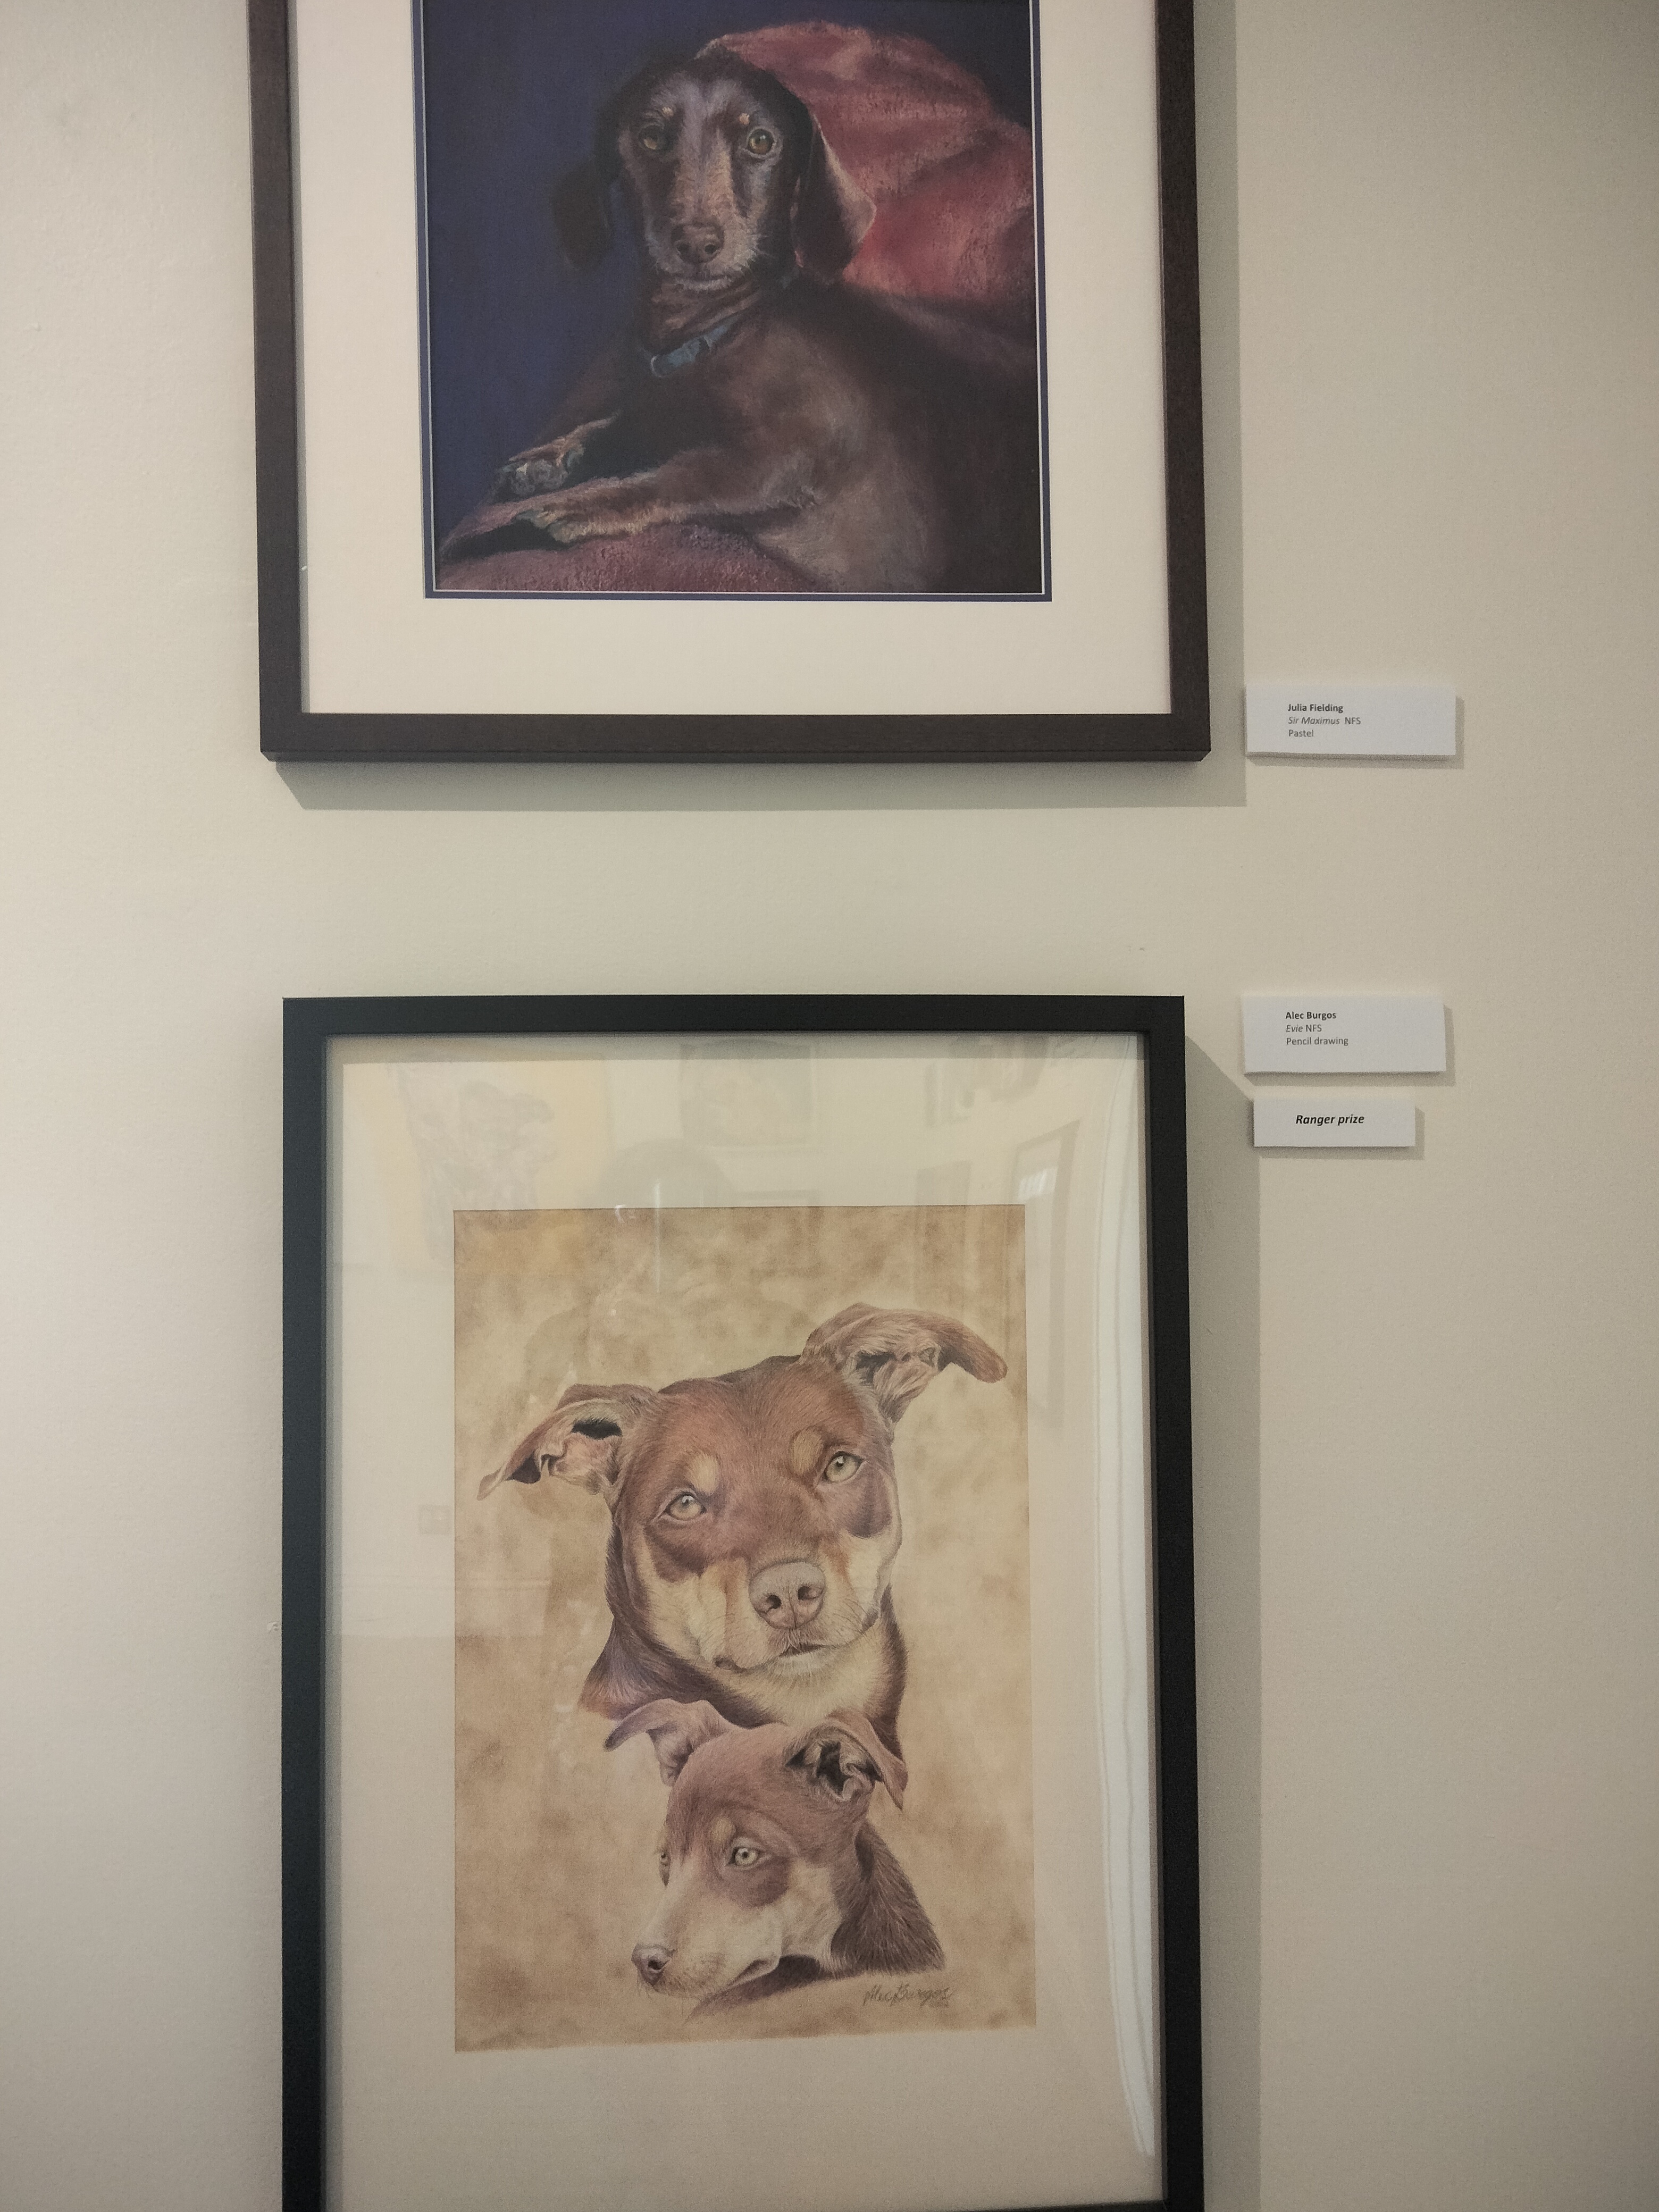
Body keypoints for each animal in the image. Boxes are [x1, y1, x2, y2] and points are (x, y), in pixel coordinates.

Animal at [489, 44, 1043, 593]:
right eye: (650, 135)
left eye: (760, 141)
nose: (697, 244)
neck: (722, 329)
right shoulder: (662, 413)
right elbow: (612, 427)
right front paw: (549, 458)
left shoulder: (788, 452)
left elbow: (687, 471)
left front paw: (583, 505)